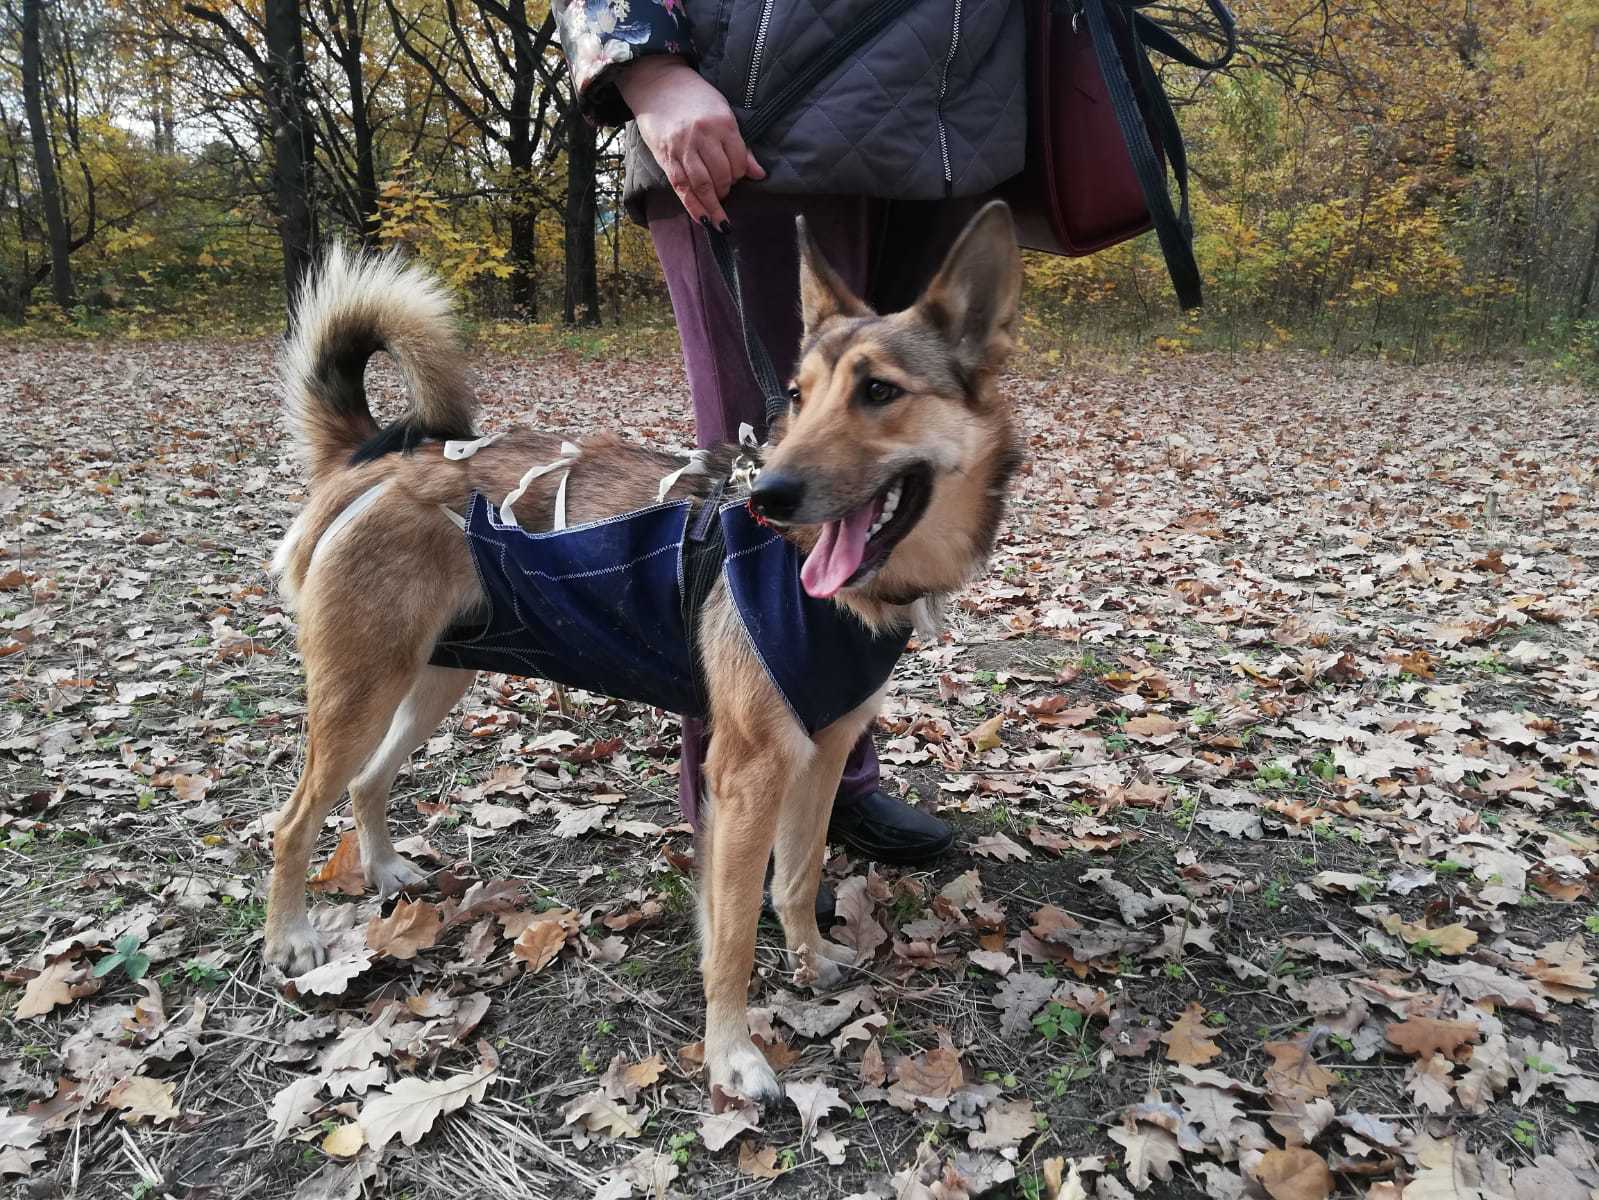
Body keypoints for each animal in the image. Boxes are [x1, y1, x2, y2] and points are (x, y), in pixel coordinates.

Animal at [257, 200, 1016, 1107]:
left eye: (878, 392)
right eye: (798, 396)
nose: (766, 499)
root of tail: (371, 457)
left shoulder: (823, 753)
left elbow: (797, 879)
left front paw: (808, 960)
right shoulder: (747, 774)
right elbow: (731, 936)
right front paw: (732, 1057)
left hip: (433, 681)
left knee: (369, 781)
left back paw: (384, 872)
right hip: (360, 694)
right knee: (292, 822)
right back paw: (290, 939)